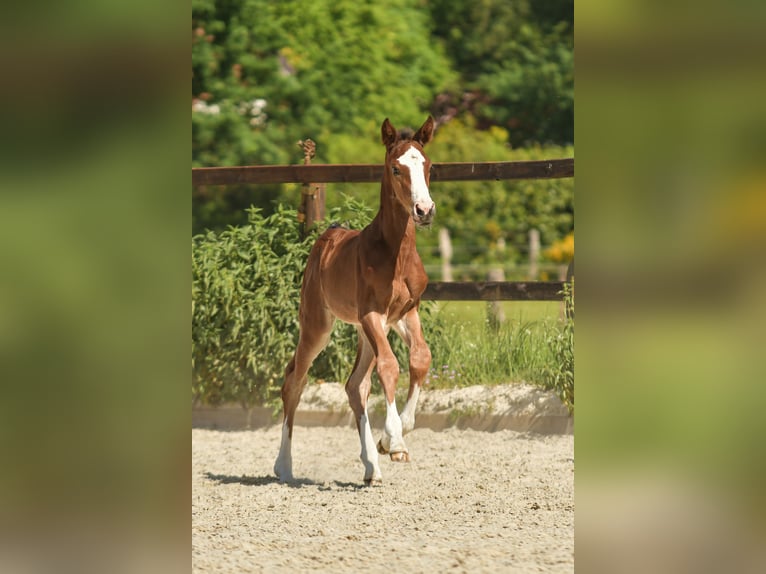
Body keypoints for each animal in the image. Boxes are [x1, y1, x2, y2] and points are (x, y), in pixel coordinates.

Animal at [274, 116, 436, 484]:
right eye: (395, 168)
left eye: (428, 166)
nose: (424, 210)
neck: (395, 253)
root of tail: (327, 236)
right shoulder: (372, 315)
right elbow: (390, 366)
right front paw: (394, 437)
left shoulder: (406, 313)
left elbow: (420, 358)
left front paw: (393, 439)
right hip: (318, 326)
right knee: (294, 381)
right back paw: (283, 466)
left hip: (372, 330)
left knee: (354, 386)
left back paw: (371, 467)